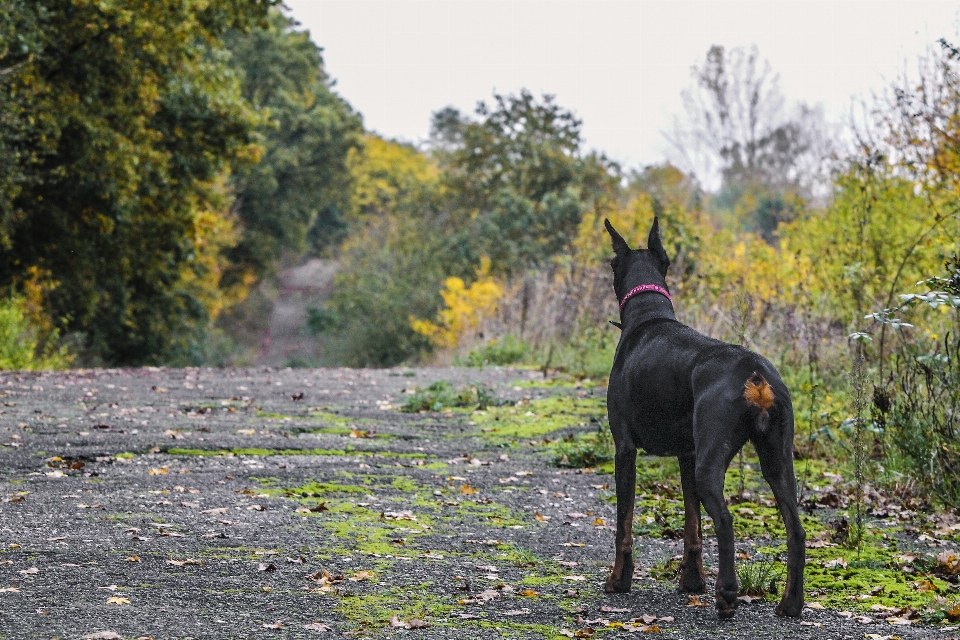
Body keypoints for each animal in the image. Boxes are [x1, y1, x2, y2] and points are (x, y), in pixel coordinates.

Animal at [608, 218, 804, 616]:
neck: (648, 315)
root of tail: (755, 375)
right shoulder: (688, 452)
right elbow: (692, 524)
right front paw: (691, 581)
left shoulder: (625, 448)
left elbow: (624, 524)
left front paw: (618, 581)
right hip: (777, 459)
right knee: (796, 528)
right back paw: (790, 603)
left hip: (712, 460)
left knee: (726, 520)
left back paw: (727, 595)